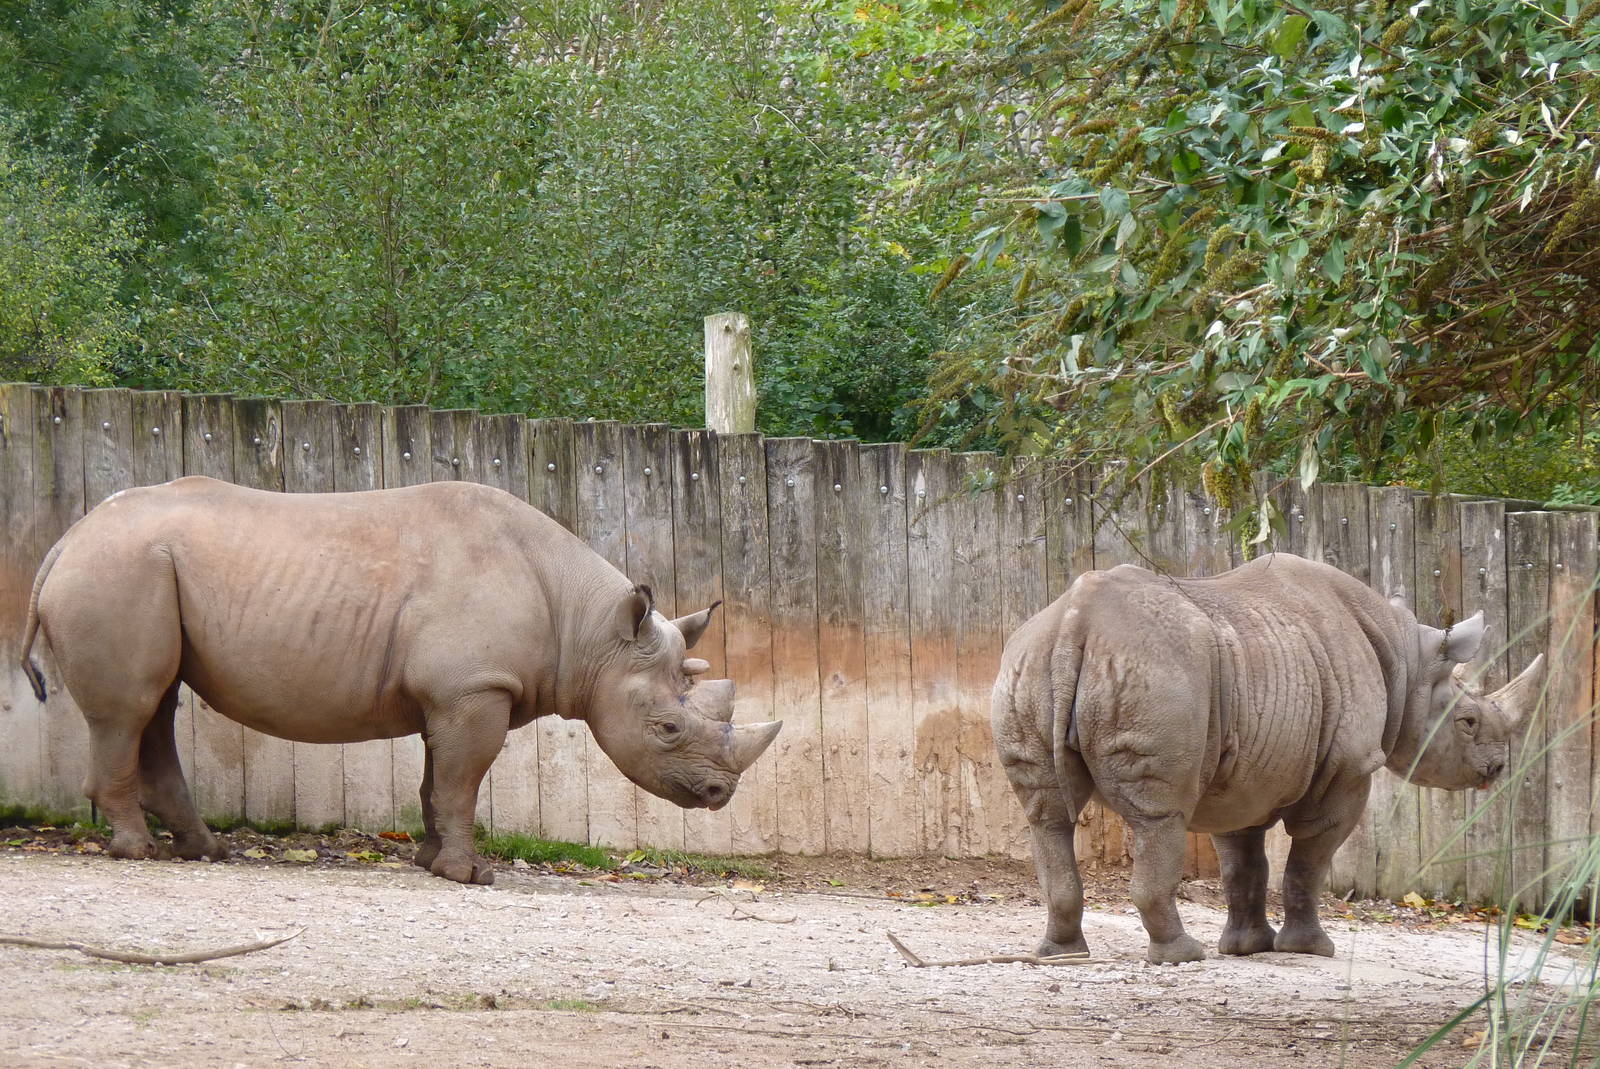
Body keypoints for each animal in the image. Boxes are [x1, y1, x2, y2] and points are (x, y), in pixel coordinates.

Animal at [19, 475, 781, 884]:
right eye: (667, 727)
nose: (720, 794)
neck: (590, 629)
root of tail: (64, 541)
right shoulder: (475, 687)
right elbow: (465, 778)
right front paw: (470, 876)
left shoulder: (453, 692)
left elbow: (437, 778)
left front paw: (428, 859)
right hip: (119, 569)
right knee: (128, 710)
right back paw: (138, 850)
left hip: (135, 567)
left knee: (157, 702)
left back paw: (206, 851)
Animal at [992, 553, 1542, 964]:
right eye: (1467, 722)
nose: (1496, 768)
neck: (1407, 663)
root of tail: (1075, 622)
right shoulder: (1349, 766)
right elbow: (1309, 860)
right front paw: (1311, 950)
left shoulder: (1241, 775)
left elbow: (1243, 863)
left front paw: (1246, 949)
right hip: (1156, 672)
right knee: (1160, 816)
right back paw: (1181, 956)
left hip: (1029, 663)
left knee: (1047, 816)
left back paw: (1060, 955)